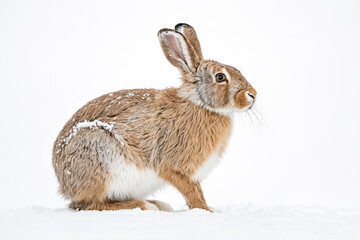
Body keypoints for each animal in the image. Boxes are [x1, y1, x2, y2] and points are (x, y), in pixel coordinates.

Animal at [52, 23, 256, 211]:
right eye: (220, 77)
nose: (253, 94)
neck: (200, 103)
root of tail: (64, 184)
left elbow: (197, 190)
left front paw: (209, 209)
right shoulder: (172, 166)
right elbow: (191, 191)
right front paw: (205, 211)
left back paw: (158, 204)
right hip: (102, 158)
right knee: (91, 204)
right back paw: (144, 205)